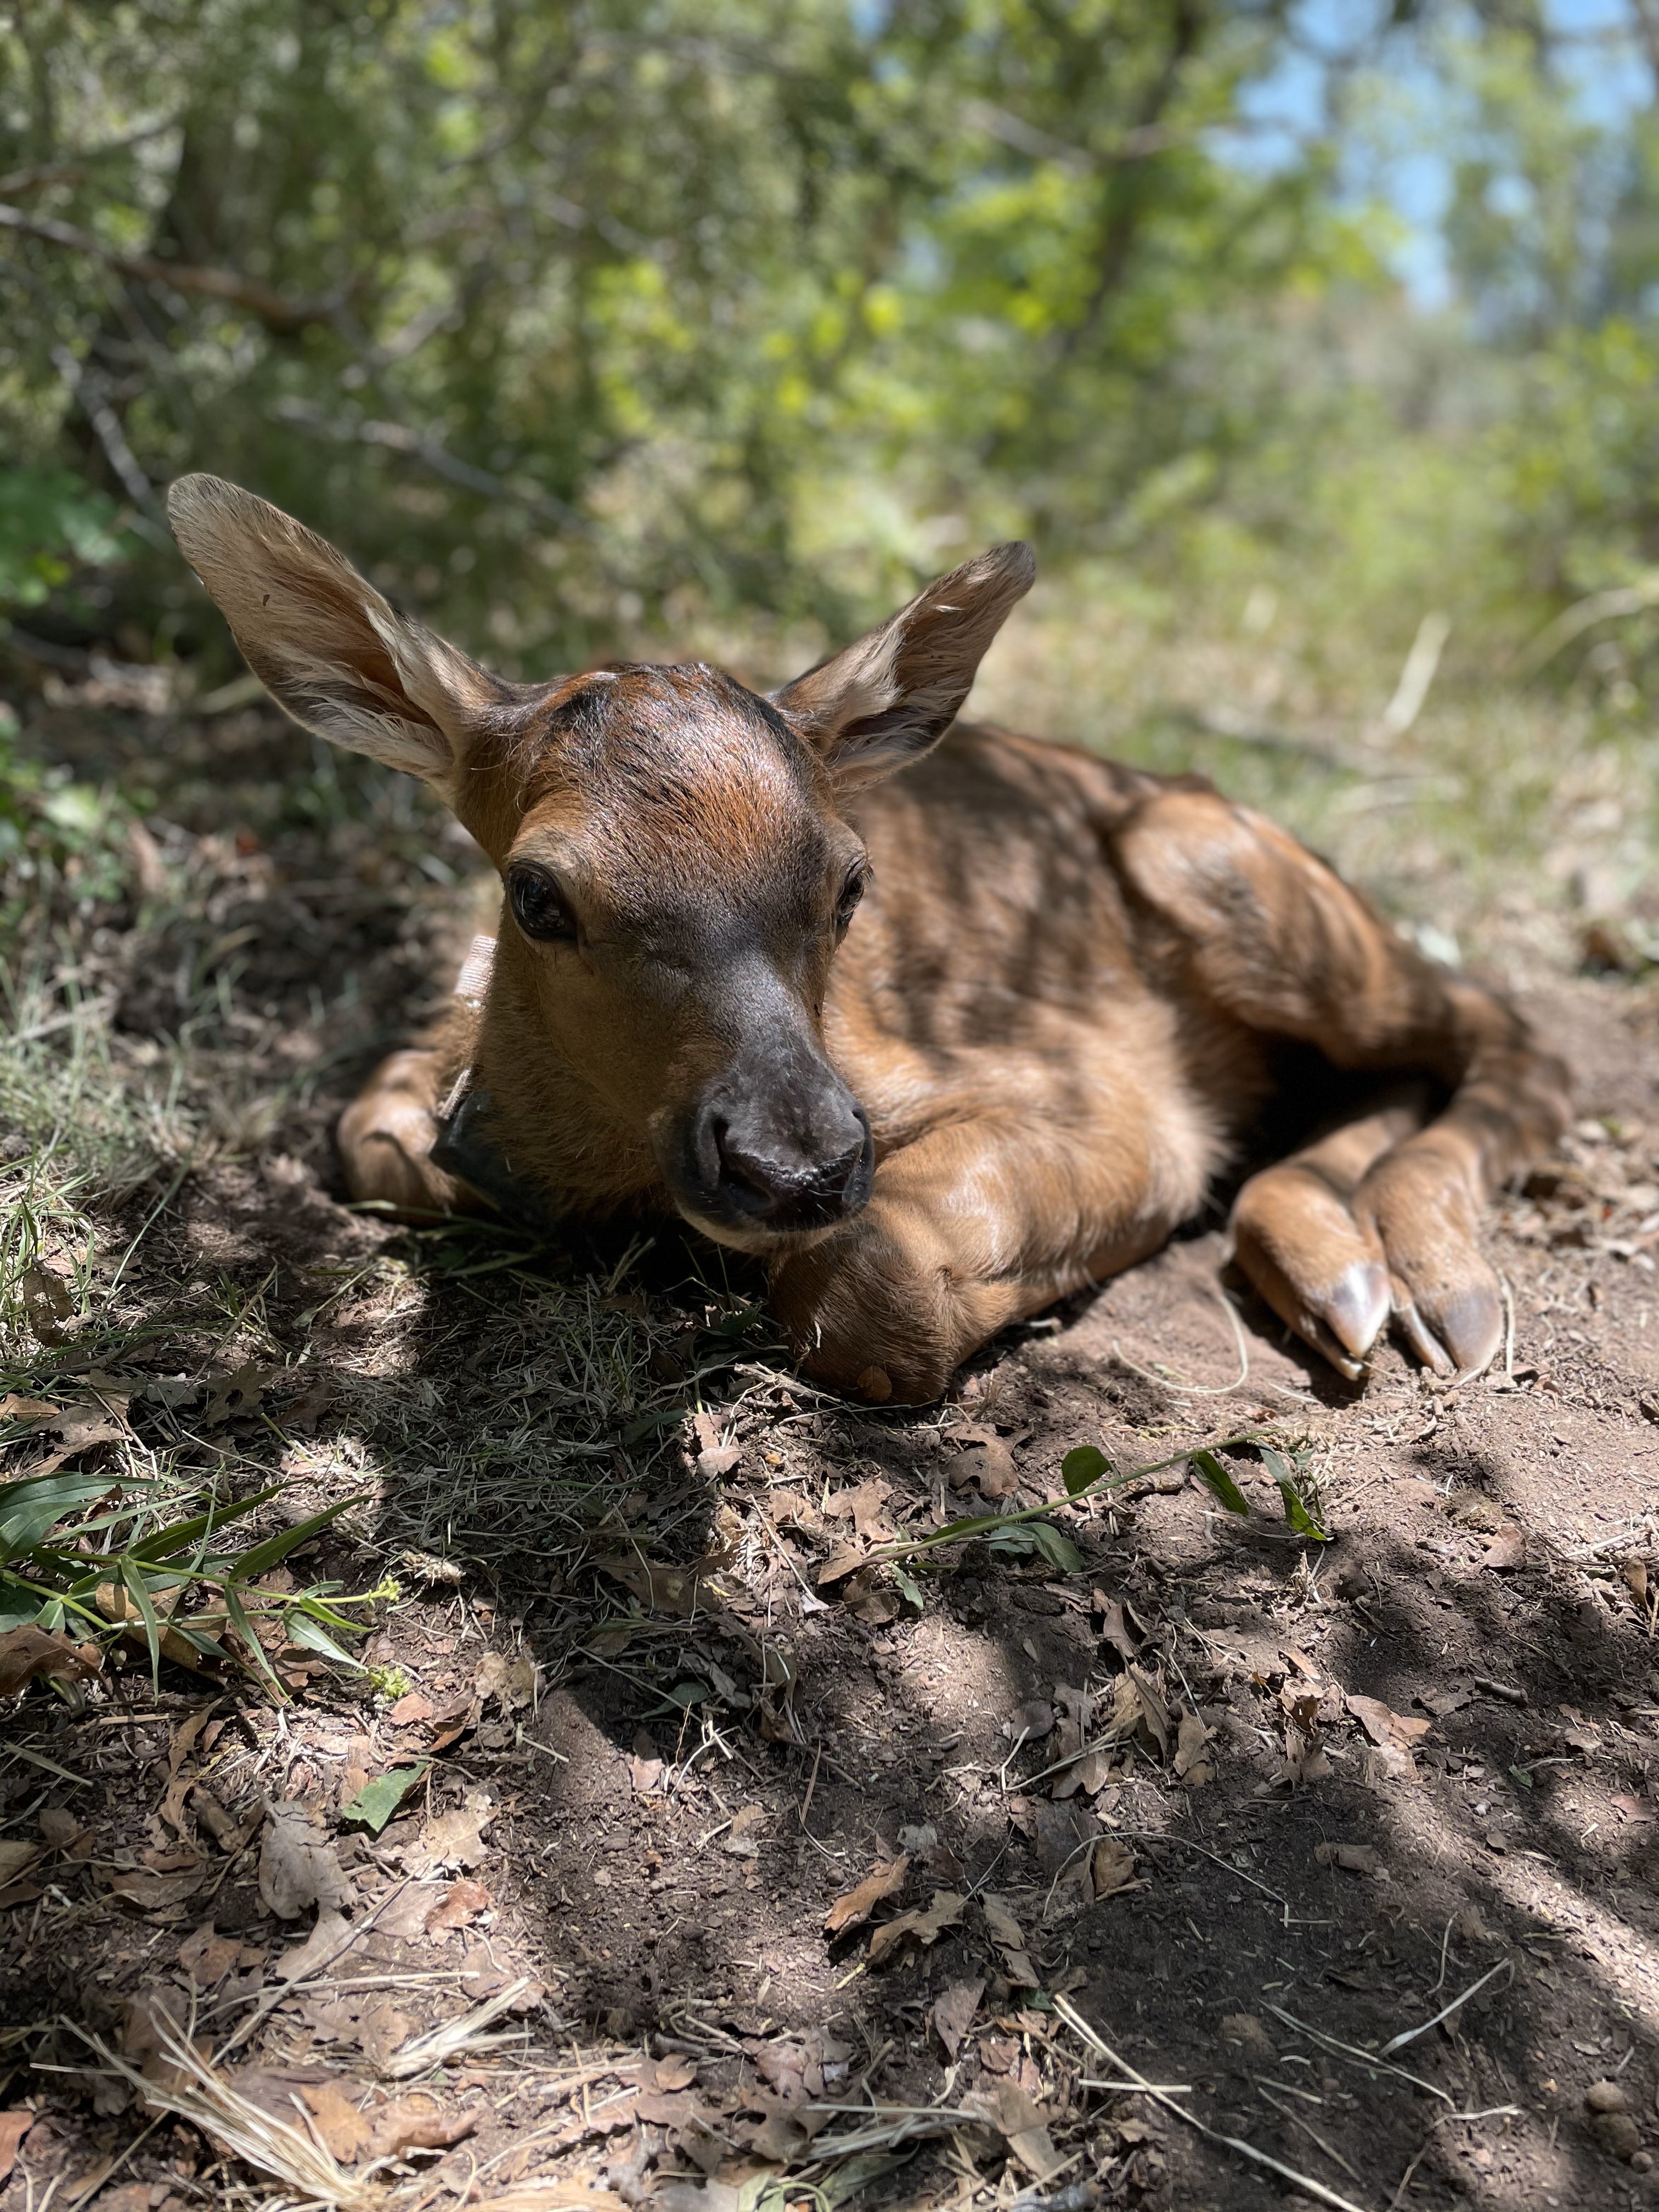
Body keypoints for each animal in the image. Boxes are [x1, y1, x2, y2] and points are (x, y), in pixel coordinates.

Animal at [167, 475, 1570, 1405]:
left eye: (851, 884)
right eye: (537, 895)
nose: (794, 1164)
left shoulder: (1113, 1100)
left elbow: (871, 1288)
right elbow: (371, 1135)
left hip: (1222, 870)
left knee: (1505, 1026)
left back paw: (1425, 1277)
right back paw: (1345, 1269)